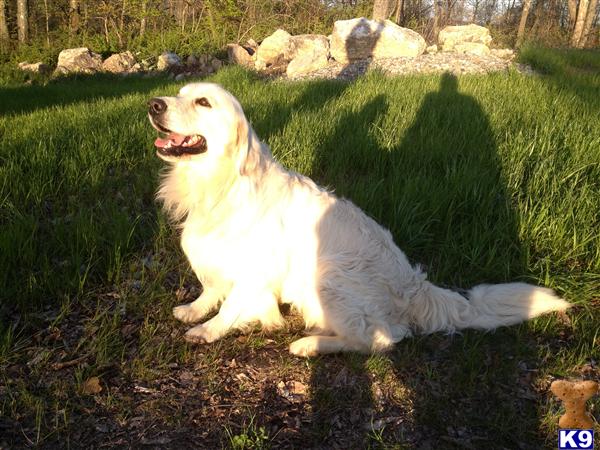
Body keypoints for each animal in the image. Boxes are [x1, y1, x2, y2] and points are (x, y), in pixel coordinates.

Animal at [148, 82, 568, 356]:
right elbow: (212, 287)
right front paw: (196, 310)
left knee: (381, 340)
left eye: (203, 102)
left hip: (329, 276)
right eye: (180, 93)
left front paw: (209, 330)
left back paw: (312, 344)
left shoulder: (257, 267)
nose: (153, 104)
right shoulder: (212, 253)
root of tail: (416, 287)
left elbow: (233, 303)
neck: (219, 184)